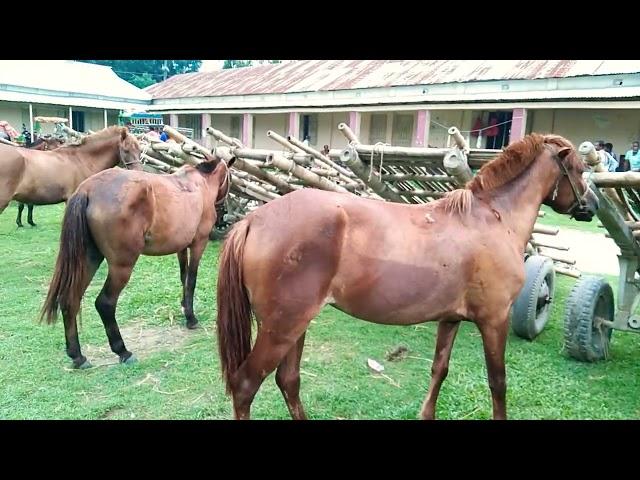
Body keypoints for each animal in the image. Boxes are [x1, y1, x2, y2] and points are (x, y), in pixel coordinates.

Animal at [40, 154, 235, 368]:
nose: (223, 215)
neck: (198, 184)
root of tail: (87, 189)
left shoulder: (181, 248)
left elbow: (183, 278)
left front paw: (184, 307)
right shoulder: (198, 244)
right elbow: (191, 280)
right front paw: (191, 318)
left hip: (89, 259)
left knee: (70, 299)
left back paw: (77, 355)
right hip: (121, 266)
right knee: (105, 303)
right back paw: (123, 351)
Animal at [219, 133, 600, 418]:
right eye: (580, 169)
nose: (592, 206)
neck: (493, 218)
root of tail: (254, 219)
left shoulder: (450, 319)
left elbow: (439, 370)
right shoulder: (495, 319)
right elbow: (498, 381)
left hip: (295, 325)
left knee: (288, 380)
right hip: (282, 327)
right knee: (246, 385)